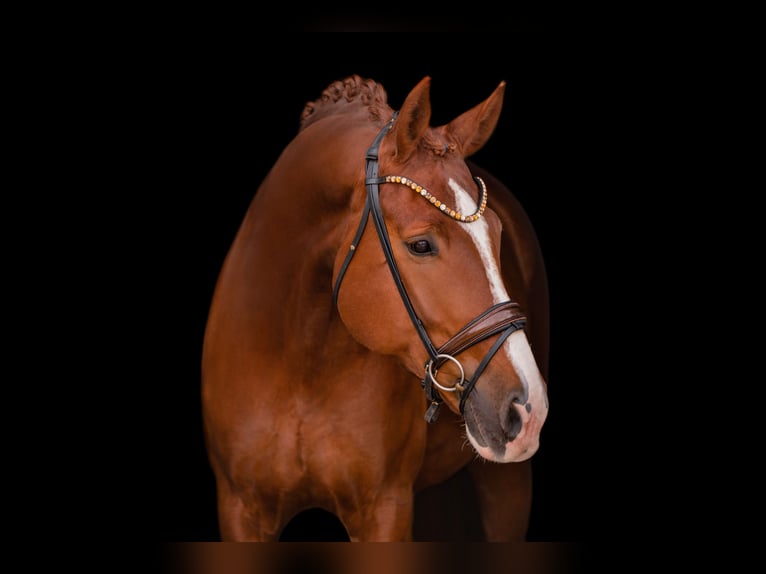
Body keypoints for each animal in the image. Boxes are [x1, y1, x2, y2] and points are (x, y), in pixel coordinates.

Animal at [201, 74, 550, 541]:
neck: (299, 366)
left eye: (496, 234)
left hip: (506, 483)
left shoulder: (384, 509)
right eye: (420, 245)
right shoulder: (240, 508)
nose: (528, 409)